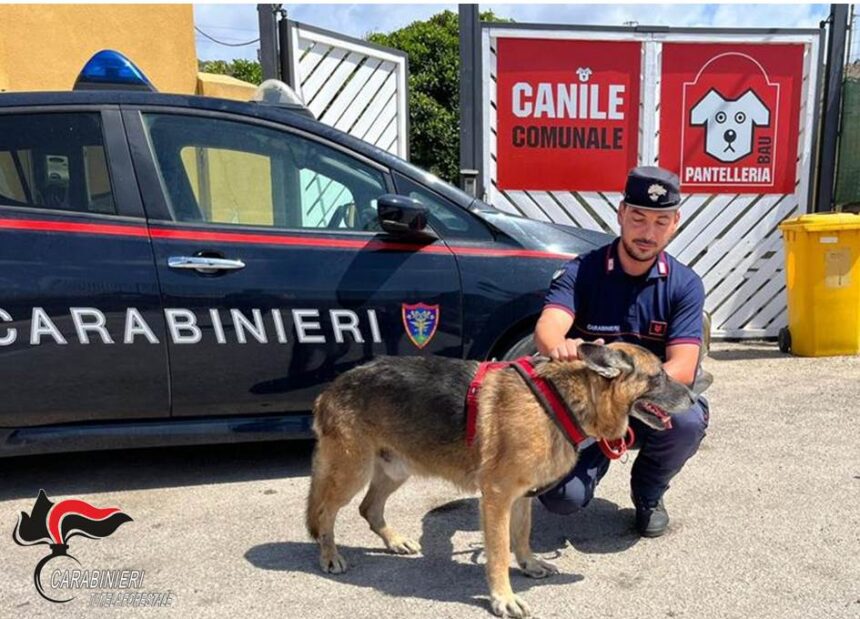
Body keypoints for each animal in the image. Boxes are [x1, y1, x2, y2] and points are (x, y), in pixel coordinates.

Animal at [306, 342, 696, 616]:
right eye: (658, 376)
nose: (694, 396)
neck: (562, 400)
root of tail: (331, 387)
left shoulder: (521, 495)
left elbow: (522, 536)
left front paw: (529, 564)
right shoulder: (496, 497)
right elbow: (497, 552)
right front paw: (503, 598)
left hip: (395, 468)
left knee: (369, 508)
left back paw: (394, 541)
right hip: (352, 471)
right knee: (325, 512)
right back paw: (330, 556)